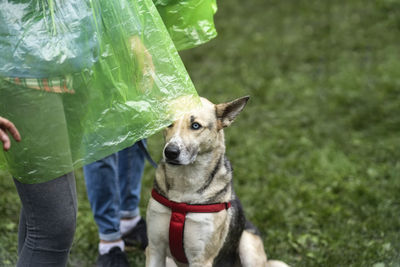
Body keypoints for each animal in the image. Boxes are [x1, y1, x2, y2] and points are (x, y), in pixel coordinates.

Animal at [145, 97, 290, 267]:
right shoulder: (154, 249)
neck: (185, 183)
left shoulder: (201, 259)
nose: (170, 152)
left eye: (195, 126)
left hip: (248, 246)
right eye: (169, 123)